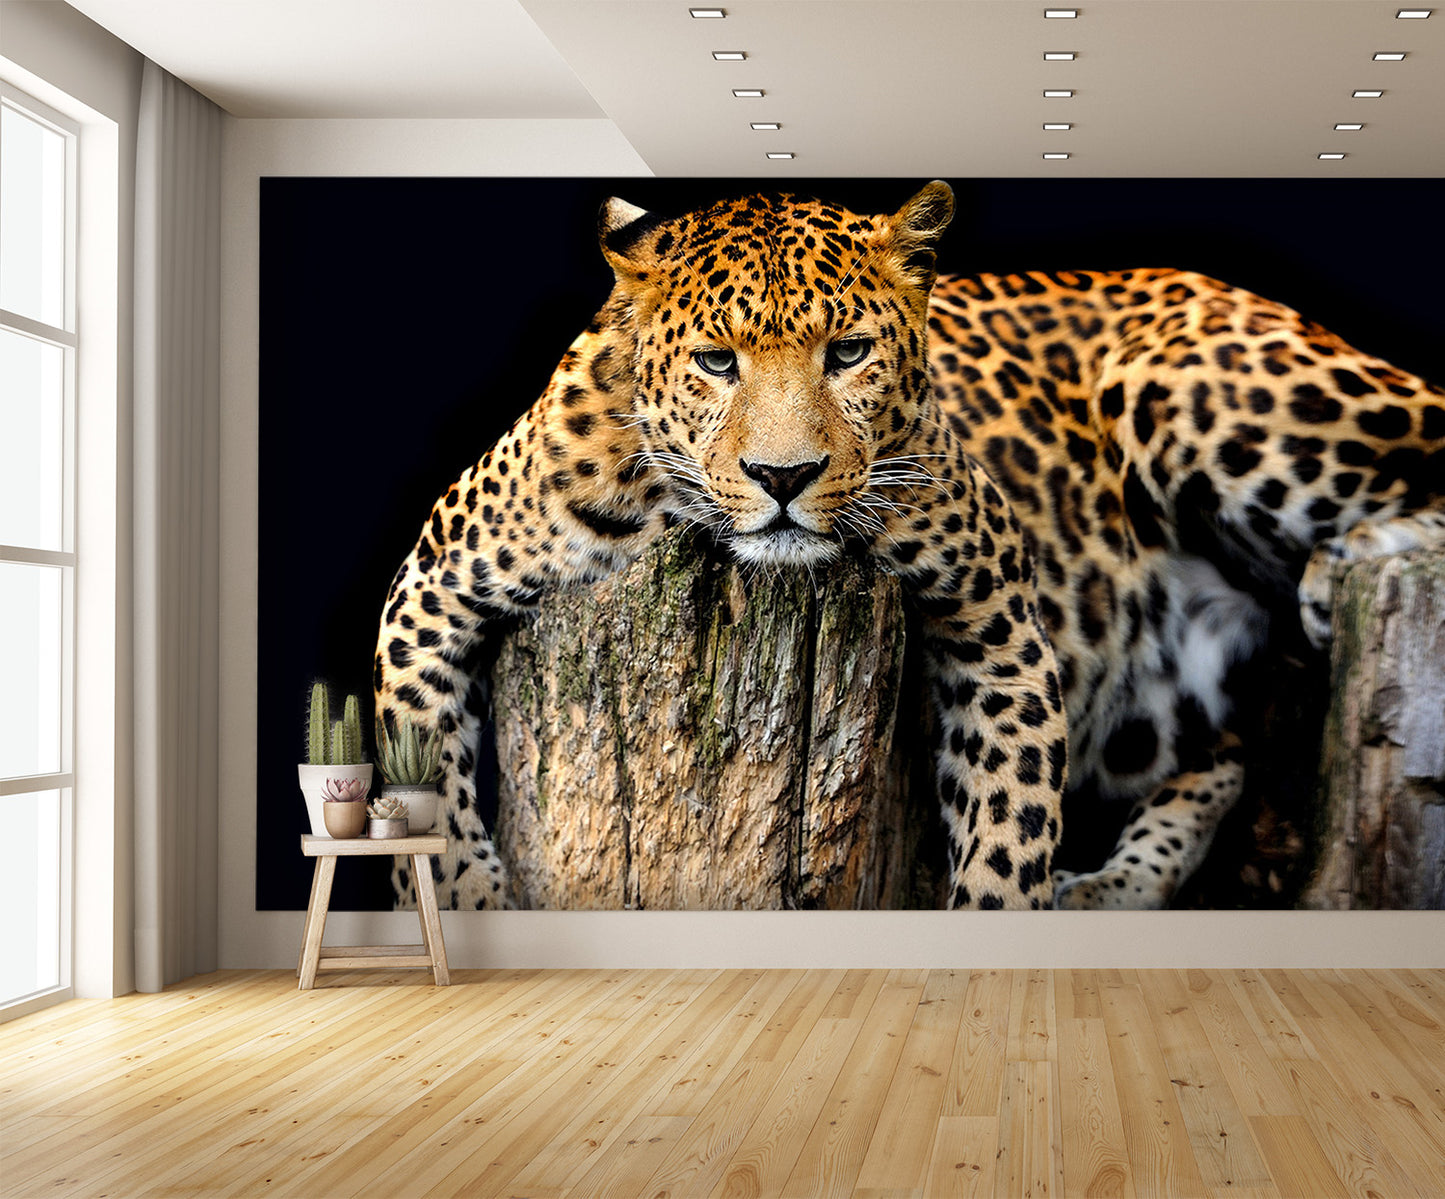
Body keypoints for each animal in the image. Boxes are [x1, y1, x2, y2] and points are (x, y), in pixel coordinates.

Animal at [374, 180, 1445, 912]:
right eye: (716, 361)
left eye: (848, 352)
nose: (783, 476)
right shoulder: (427, 592)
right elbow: (427, 792)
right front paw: (479, 903)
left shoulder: (999, 627)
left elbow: (1009, 827)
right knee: (1221, 757)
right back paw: (1109, 886)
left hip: (1196, 387)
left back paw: (1346, 566)